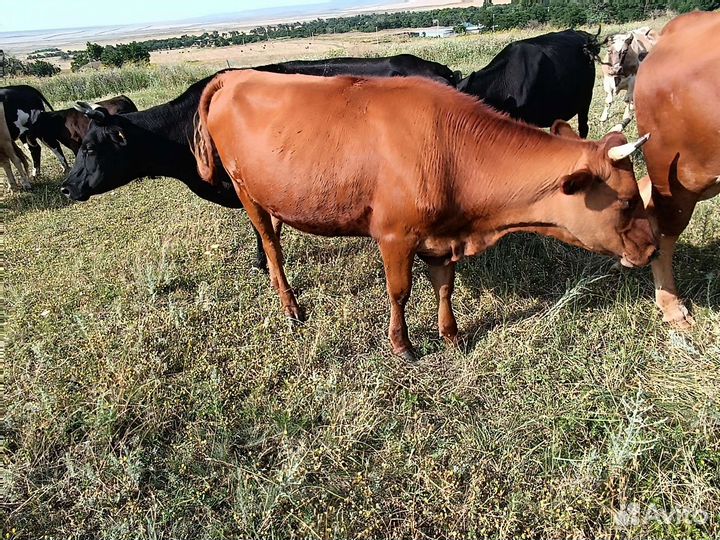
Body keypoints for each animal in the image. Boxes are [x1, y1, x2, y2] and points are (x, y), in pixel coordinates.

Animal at [193, 71, 657, 359]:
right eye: (627, 202)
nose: (652, 248)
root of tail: (235, 75)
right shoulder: (394, 235)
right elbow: (400, 292)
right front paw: (402, 345)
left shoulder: (443, 235)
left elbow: (444, 287)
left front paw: (451, 335)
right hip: (245, 189)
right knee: (271, 243)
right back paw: (290, 305)